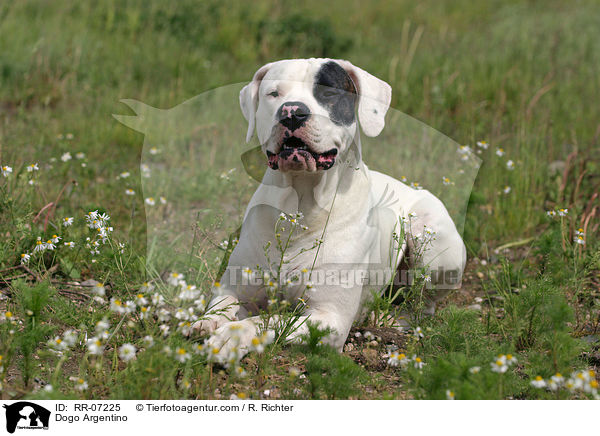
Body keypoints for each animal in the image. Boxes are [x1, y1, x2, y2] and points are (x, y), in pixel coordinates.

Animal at [191, 58, 464, 358]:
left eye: (329, 93)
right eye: (274, 94)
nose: (292, 112)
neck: (301, 203)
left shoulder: (328, 317)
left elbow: (268, 320)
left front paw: (234, 335)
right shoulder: (233, 288)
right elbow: (221, 306)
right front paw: (208, 322)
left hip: (431, 243)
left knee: (422, 306)